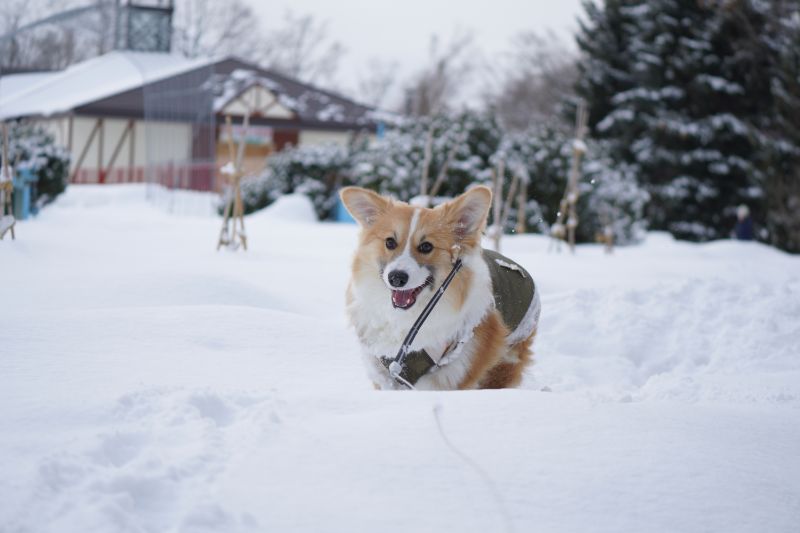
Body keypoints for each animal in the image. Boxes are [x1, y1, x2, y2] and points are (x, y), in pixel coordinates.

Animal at [340, 185, 540, 388]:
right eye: (390, 242)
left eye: (426, 246)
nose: (396, 278)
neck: (406, 319)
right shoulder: (384, 371)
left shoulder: (458, 368)